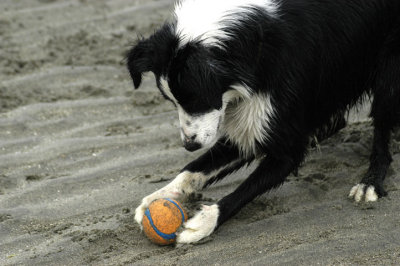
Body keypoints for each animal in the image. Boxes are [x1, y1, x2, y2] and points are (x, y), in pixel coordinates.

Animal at [127, 0, 400, 244]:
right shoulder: (252, 124)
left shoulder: (283, 144)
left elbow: (243, 190)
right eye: (171, 101)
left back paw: (370, 182)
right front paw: (157, 197)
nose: (189, 145)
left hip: (389, 69)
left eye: (196, 98)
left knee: (382, 126)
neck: (251, 54)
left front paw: (204, 223)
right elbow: (192, 170)